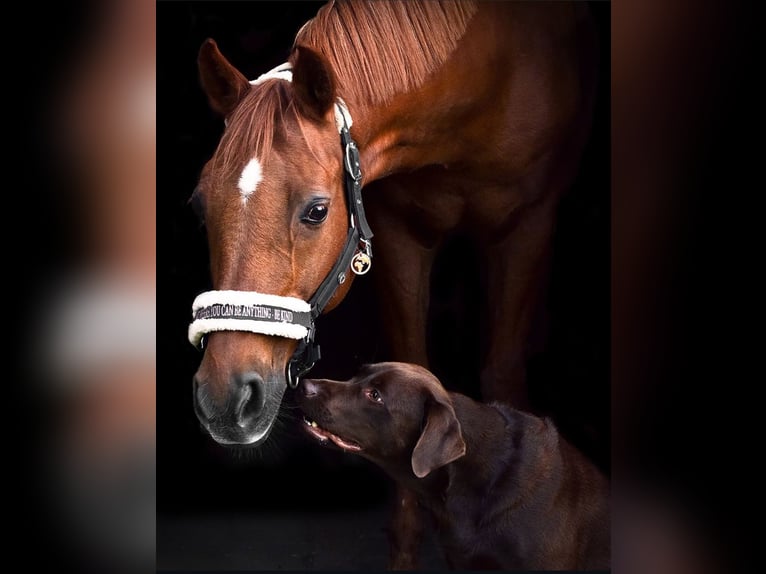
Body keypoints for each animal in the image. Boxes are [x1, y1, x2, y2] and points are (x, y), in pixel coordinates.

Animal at [189, 0, 597, 568]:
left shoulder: (526, 226)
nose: (224, 400)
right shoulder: (402, 232)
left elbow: (501, 369)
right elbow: (411, 367)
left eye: (317, 211)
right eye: (199, 205)